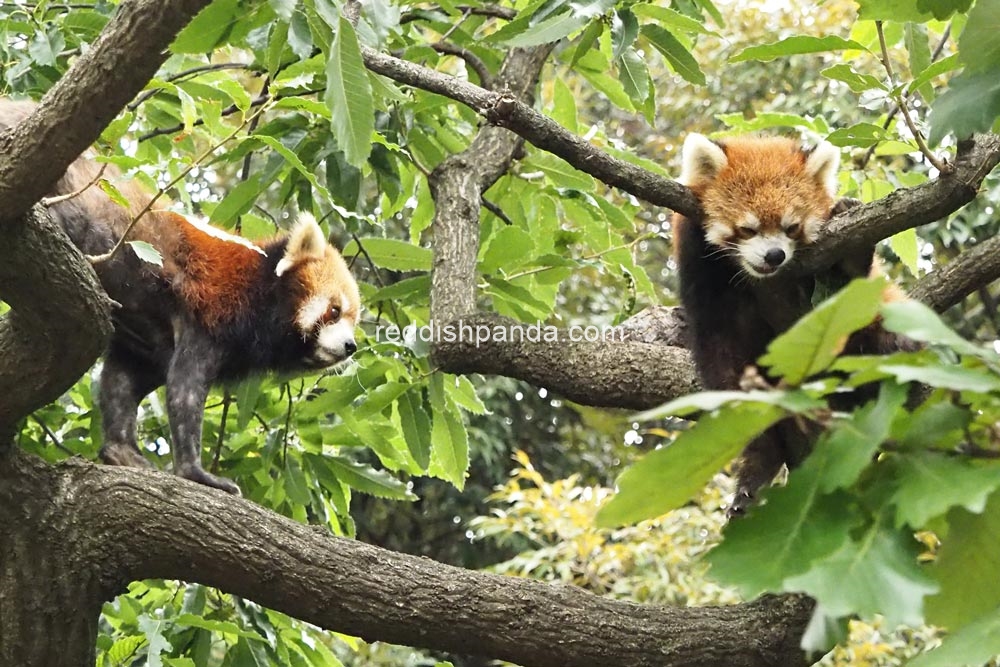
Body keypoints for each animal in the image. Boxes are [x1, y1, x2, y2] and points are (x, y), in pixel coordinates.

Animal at [1, 99, 362, 496]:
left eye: (353, 319)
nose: (350, 346)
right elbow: (185, 389)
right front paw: (195, 472)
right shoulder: (211, 313)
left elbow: (122, 382)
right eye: (334, 310)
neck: (261, 294)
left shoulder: (147, 347)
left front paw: (121, 449)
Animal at [676, 132, 912, 516]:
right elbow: (726, 370)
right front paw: (757, 463)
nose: (775, 255)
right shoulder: (706, 287)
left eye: (791, 227)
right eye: (748, 229)